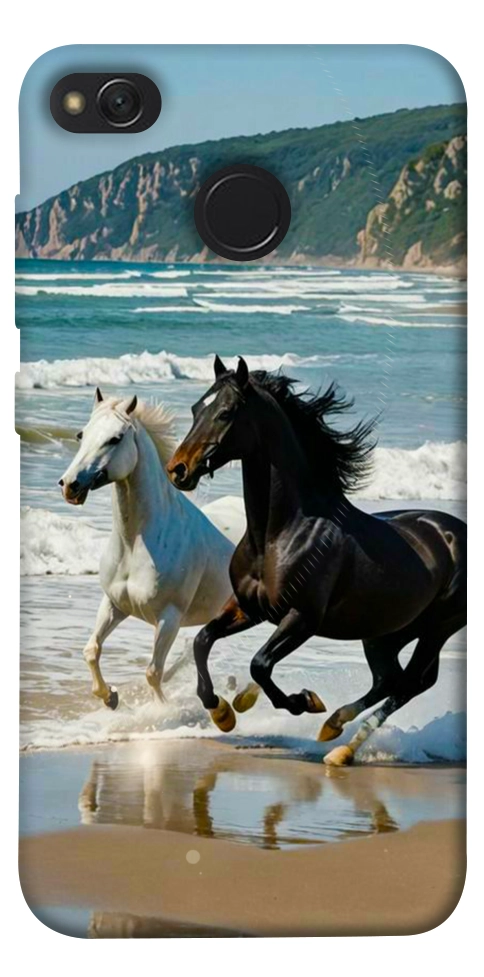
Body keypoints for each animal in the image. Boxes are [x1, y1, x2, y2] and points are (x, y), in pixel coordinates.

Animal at [59, 387, 234, 709]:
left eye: (115, 438)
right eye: (81, 434)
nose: (70, 485)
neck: (135, 544)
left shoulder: (169, 618)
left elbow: (153, 672)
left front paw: (161, 711)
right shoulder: (114, 604)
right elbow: (91, 650)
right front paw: (110, 697)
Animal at [166, 356, 466, 765]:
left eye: (226, 413)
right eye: (197, 408)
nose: (178, 469)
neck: (279, 534)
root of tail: (456, 532)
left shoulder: (302, 618)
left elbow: (260, 664)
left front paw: (303, 701)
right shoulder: (249, 608)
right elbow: (202, 640)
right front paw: (223, 712)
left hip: (437, 628)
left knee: (410, 683)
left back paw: (340, 746)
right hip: (386, 632)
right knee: (390, 679)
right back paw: (334, 728)